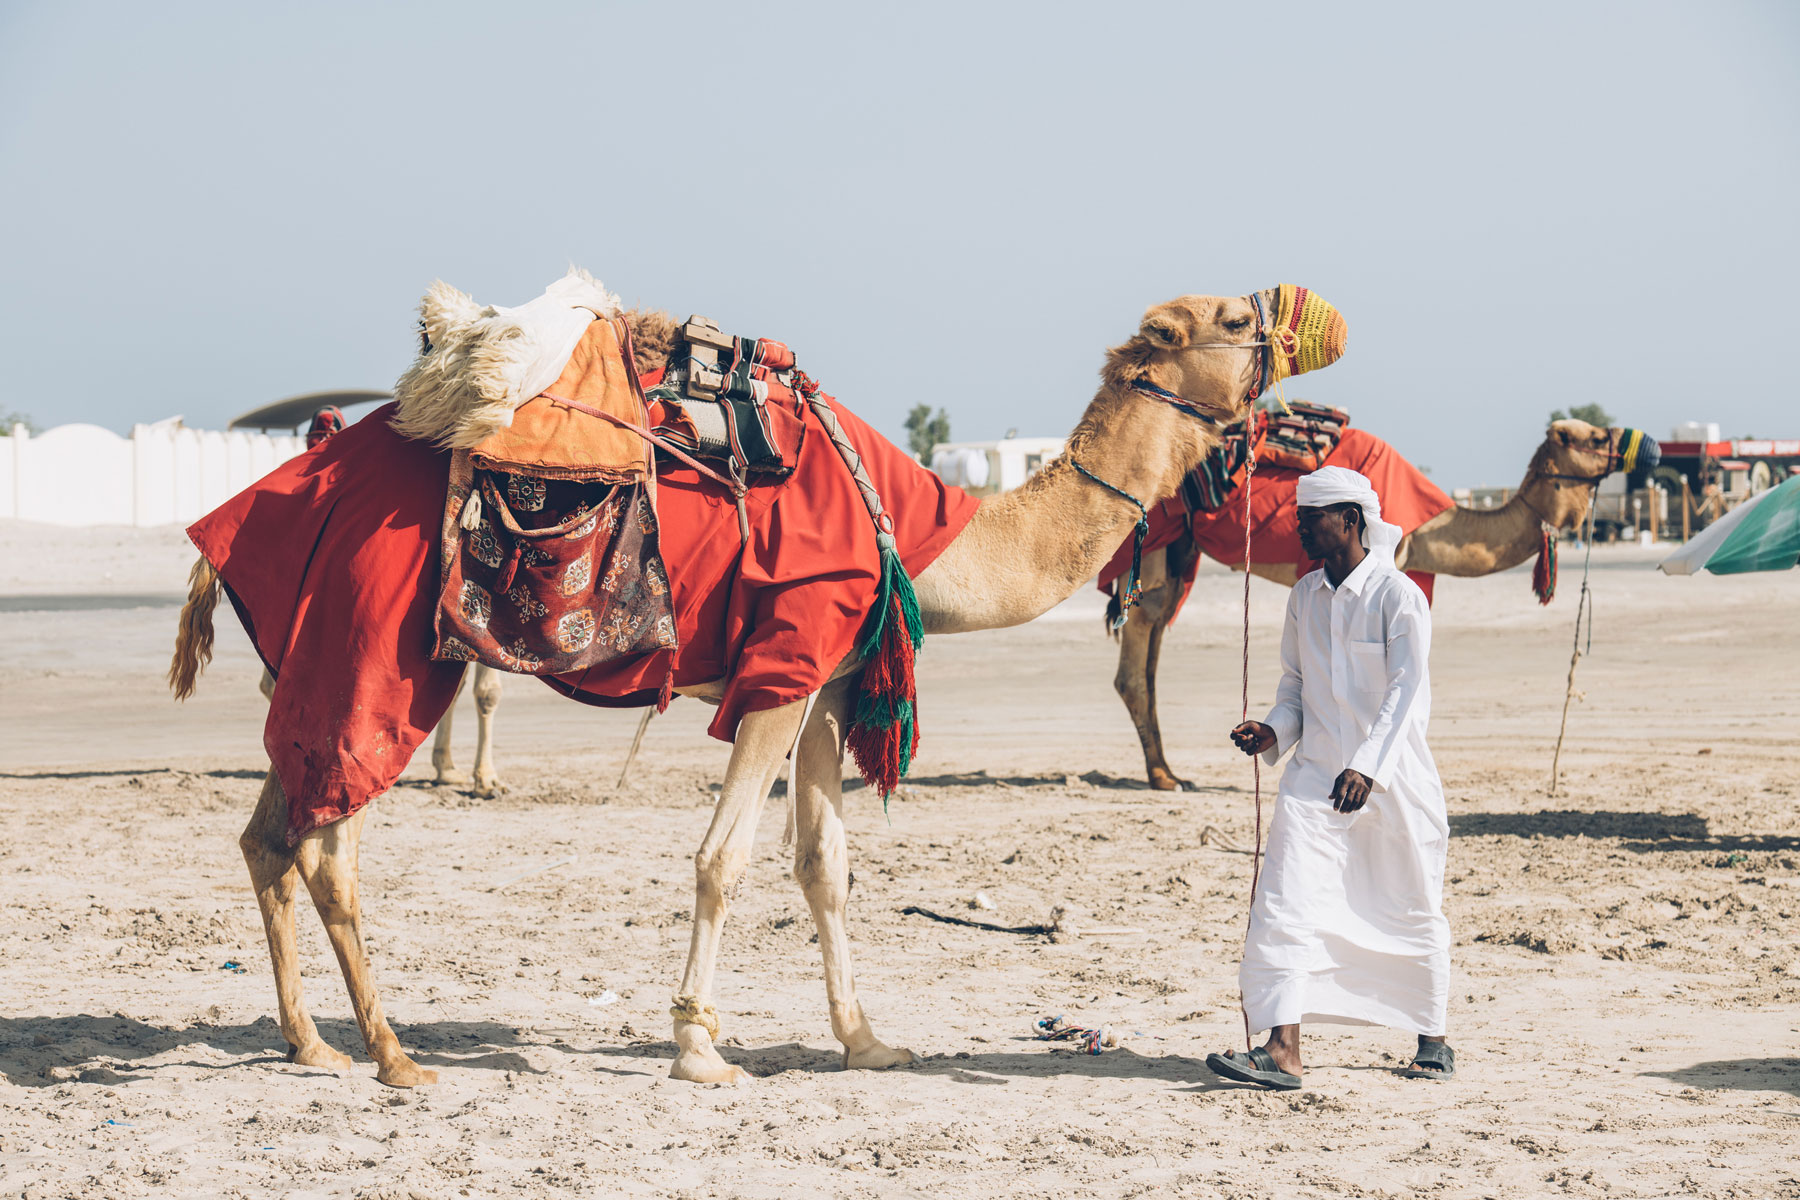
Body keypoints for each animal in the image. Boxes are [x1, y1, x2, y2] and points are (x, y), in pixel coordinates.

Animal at [175, 271, 1346, 1086]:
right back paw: (395, 1057)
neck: (932, 535)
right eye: (1234, 321)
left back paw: (314, 1045)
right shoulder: (784, 665)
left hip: (318, 655)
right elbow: (721, 858)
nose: (1321, 377)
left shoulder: (828, 683)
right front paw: (701, 1052)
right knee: (329, 843)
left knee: (270, 834)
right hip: (382, 653)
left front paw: (867, 1043)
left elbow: (825, 865)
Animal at [1101, 417, 1663, 791]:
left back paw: (1169, 771)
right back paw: (1163, 778)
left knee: (1153, 645)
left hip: (1181, 548)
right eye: (1596, 438)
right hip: (1156, 537)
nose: (1654, 448)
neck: (1437, 528)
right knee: (1139, 650)